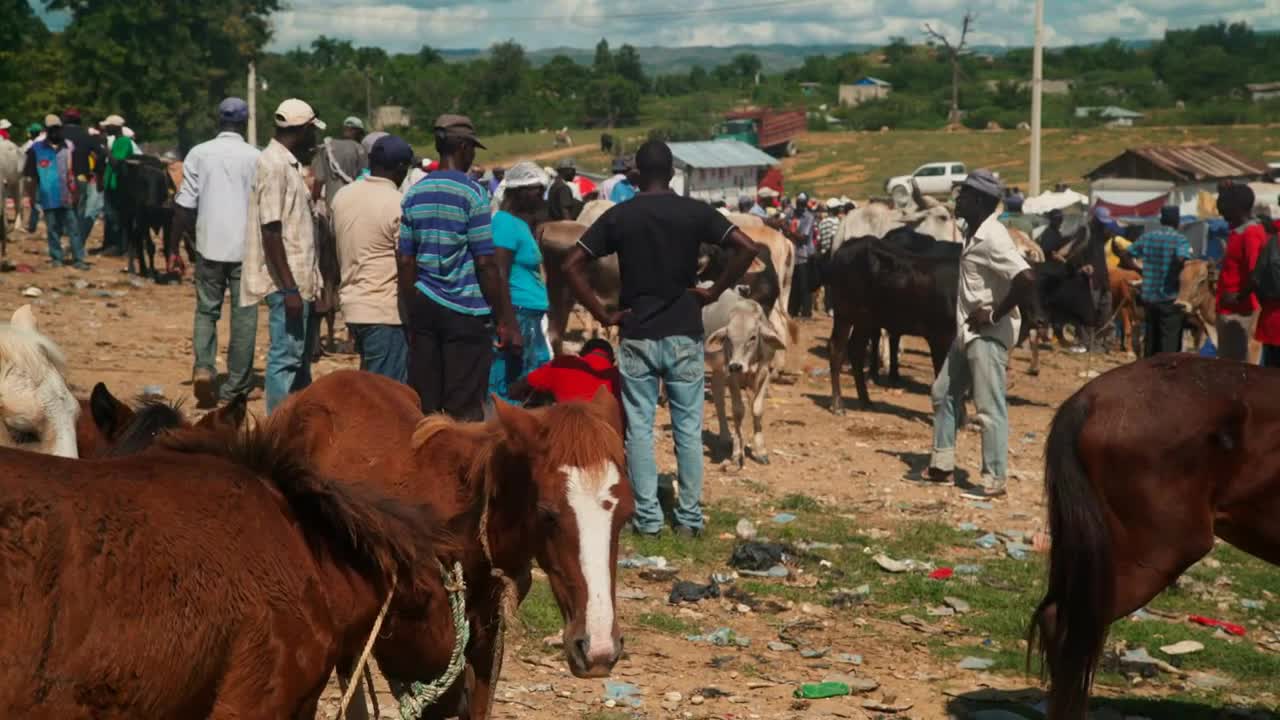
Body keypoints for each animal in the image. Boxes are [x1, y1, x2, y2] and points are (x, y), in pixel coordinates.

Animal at [277, 368, 632, 717]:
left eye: (626, 514)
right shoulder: (416, 659)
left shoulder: (487, 643)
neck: (464, 531)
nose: (598, 650)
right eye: (548, 514)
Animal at [706, 288, 783, 468]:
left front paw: (761, 451)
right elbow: (738, 411)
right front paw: (737, 452)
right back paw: (726, 436)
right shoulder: (731, 376)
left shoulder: (764, 373)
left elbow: (757, 409)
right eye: (728, 338)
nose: (736, 366)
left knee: (717, 394)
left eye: (753, 337)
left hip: (719, 371)